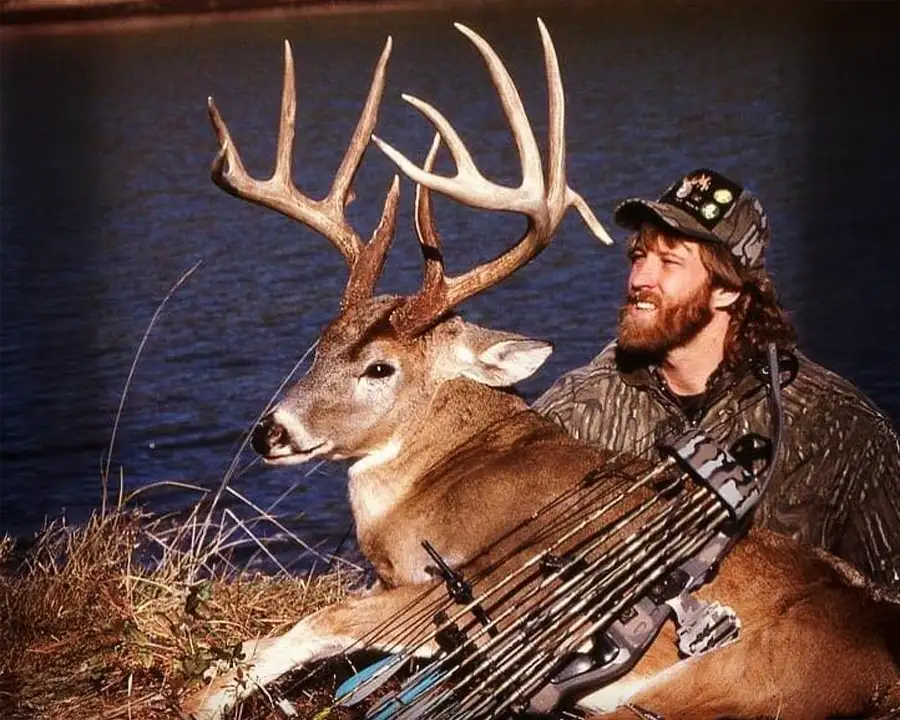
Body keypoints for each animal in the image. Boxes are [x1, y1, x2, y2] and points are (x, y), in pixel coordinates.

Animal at [183, 19, 900, 720]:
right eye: (321, 342)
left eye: (379, 367)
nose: (269, 432)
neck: (428, 480)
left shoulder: (465, 593)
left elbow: (302, 629)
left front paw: (201, 700)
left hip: (701, 690)